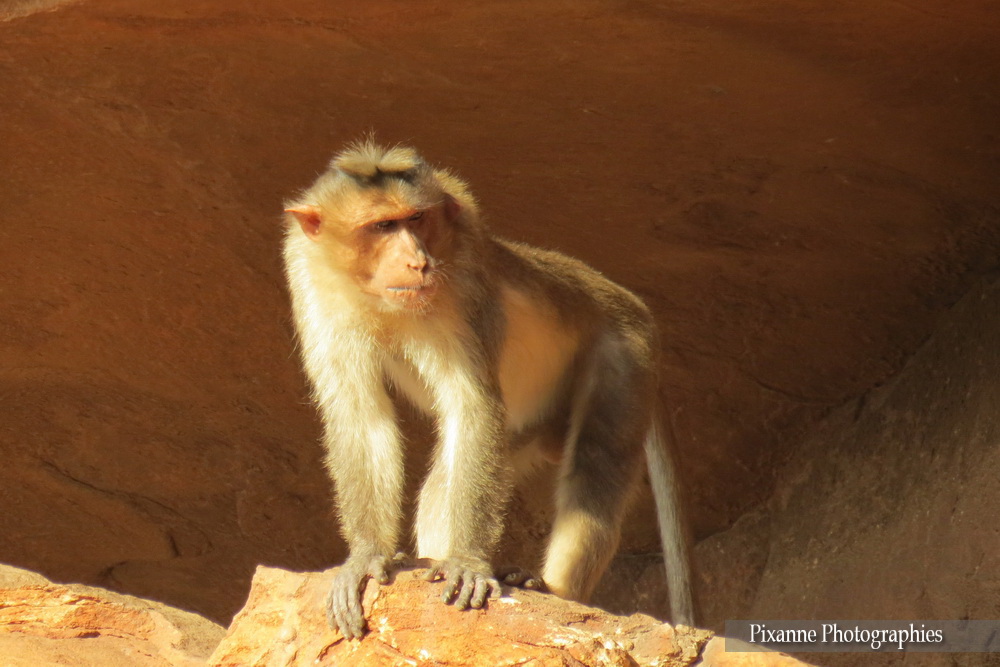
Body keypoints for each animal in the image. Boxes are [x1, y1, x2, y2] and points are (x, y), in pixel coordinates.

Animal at [282, 139, 694, 639]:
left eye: (415, 219)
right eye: (382, 226)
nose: (418, 261)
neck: (376, 297)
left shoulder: (460, 283)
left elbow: (471, 404)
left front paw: (466, 562)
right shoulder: (311, 281)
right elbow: (360, 415)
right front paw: (367, 555)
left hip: (627, 352)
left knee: (598, 461)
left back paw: (553, 588)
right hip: (533, 425)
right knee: (446, 481)